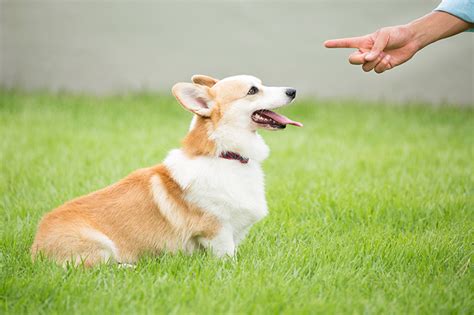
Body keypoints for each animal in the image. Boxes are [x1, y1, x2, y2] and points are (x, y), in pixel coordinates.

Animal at [31, 75, 302, 268]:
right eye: (252, 90)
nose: (293, 90)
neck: (226, 156)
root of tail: (35, 249)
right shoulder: (218, 232)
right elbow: (228, 258)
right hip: (101, 245)